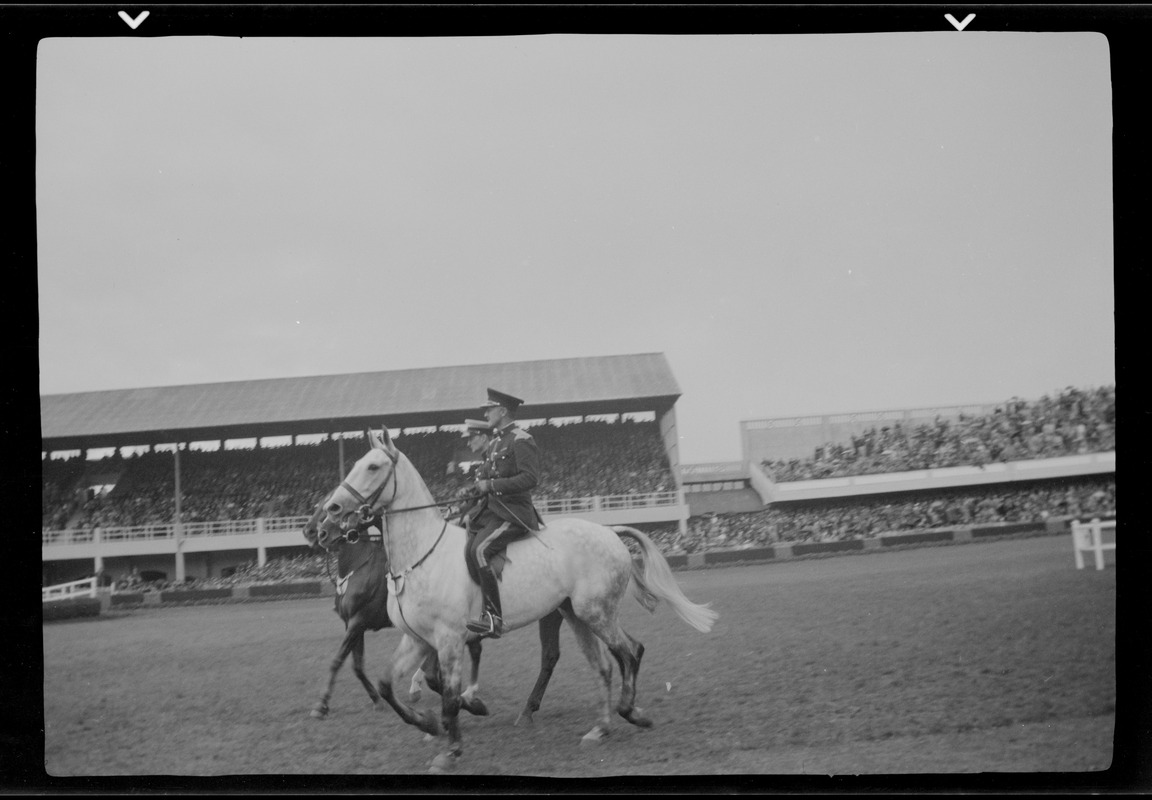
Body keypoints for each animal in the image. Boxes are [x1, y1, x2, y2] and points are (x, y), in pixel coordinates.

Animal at [301, 511, 562, 728]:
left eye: (330, 507)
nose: (314, 532)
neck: (359, 566)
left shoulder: (359, 621)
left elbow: (338, 661)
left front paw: (321, 705)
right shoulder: (355, 624)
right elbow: (356, 665)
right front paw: (376, 699)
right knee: (477, 650)